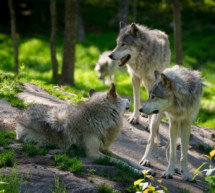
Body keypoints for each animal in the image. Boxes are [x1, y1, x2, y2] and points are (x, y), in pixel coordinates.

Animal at [15, 83, 153, 174]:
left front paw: (146, 170)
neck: (98, 119)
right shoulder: (94, 153)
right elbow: (122, 163)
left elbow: (129, 160)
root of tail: (21, 113)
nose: (129, 100)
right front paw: (139, 173)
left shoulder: (106, 150)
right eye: (121, 97)